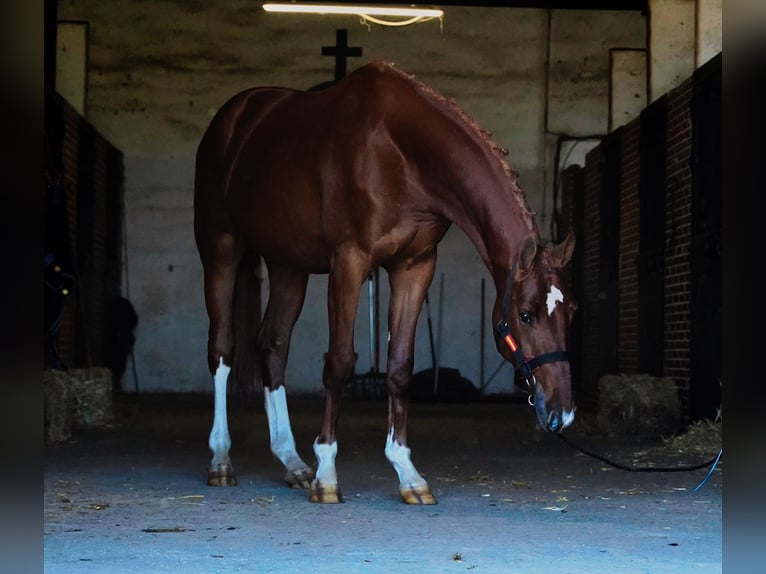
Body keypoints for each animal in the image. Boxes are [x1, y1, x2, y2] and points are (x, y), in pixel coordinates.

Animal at [194, 60, 577, 505]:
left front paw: (408, 473)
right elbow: (339, 363)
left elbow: (399, 366)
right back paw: (221, 460)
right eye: (526, 314)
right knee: (222, 348)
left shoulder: (414, 267)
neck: (400, 153)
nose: (562, 413)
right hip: (220, 249)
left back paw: (292, 463)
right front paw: (327, 474)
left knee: (273, 346)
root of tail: (235, 116)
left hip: (288, 264)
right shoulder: (350, 262)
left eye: (571, 313)